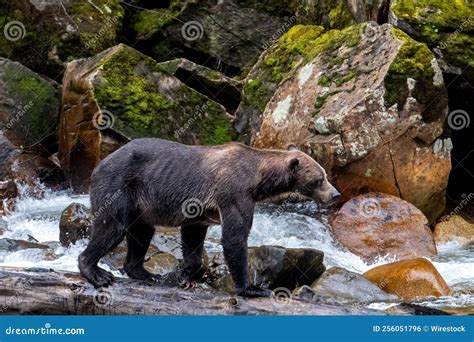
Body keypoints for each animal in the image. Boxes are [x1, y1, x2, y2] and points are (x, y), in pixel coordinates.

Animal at [78, 138, 338, 296]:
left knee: (142, 232)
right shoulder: (234, 192)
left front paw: (186, 276)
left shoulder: (201, 210)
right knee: (112, 226)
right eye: (320, 178)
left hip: (142, 205)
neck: (259, 179)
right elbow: (235, 236)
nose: (335, 194)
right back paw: (97, 273)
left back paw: (147, 274)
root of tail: (100, 163)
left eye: (325, 174)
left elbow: (193, 237)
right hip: (119, 185)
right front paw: (252, 288)